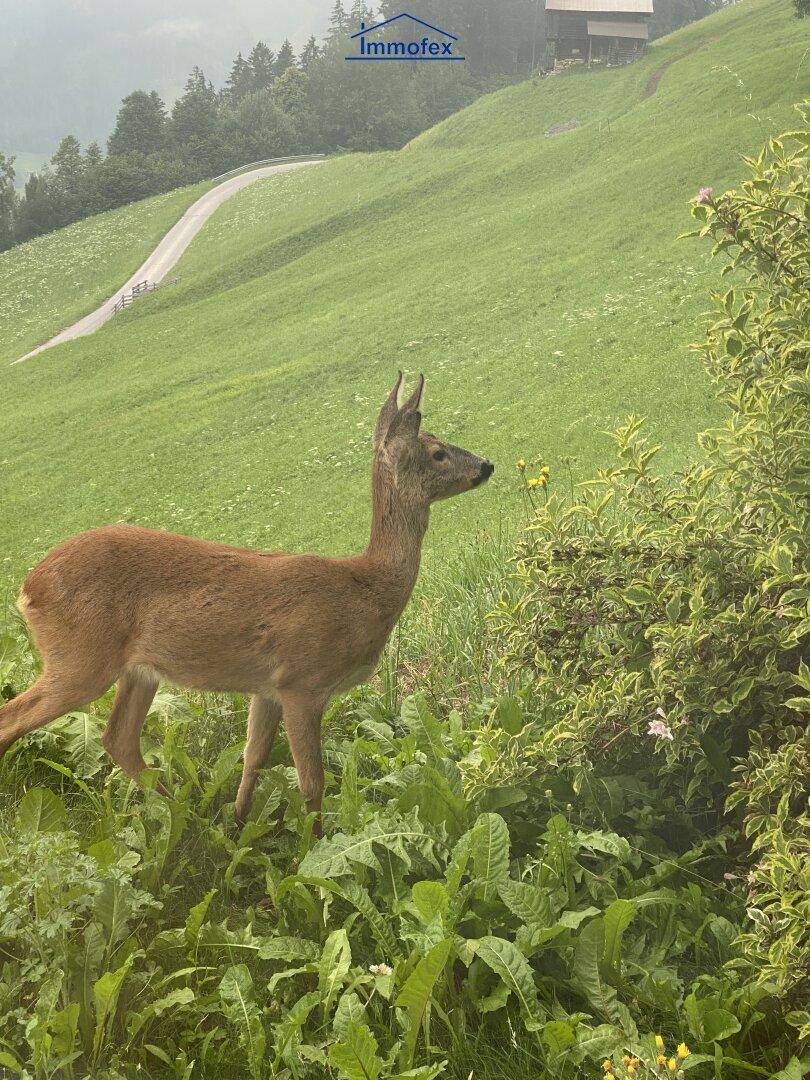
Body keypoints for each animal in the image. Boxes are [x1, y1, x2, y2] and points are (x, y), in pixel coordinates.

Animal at [1, 374, 493, 830]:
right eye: (437, 451)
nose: (487, 465)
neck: (365, 587)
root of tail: (28, 588)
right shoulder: (302, 681)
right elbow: (312, 782)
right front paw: (312, 846)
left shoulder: (266, 687)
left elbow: (253, 757)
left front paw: (238, 826)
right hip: (79, 659)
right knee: (13, 718)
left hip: (137, 670)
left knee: (118, 738)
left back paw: (188, 816)